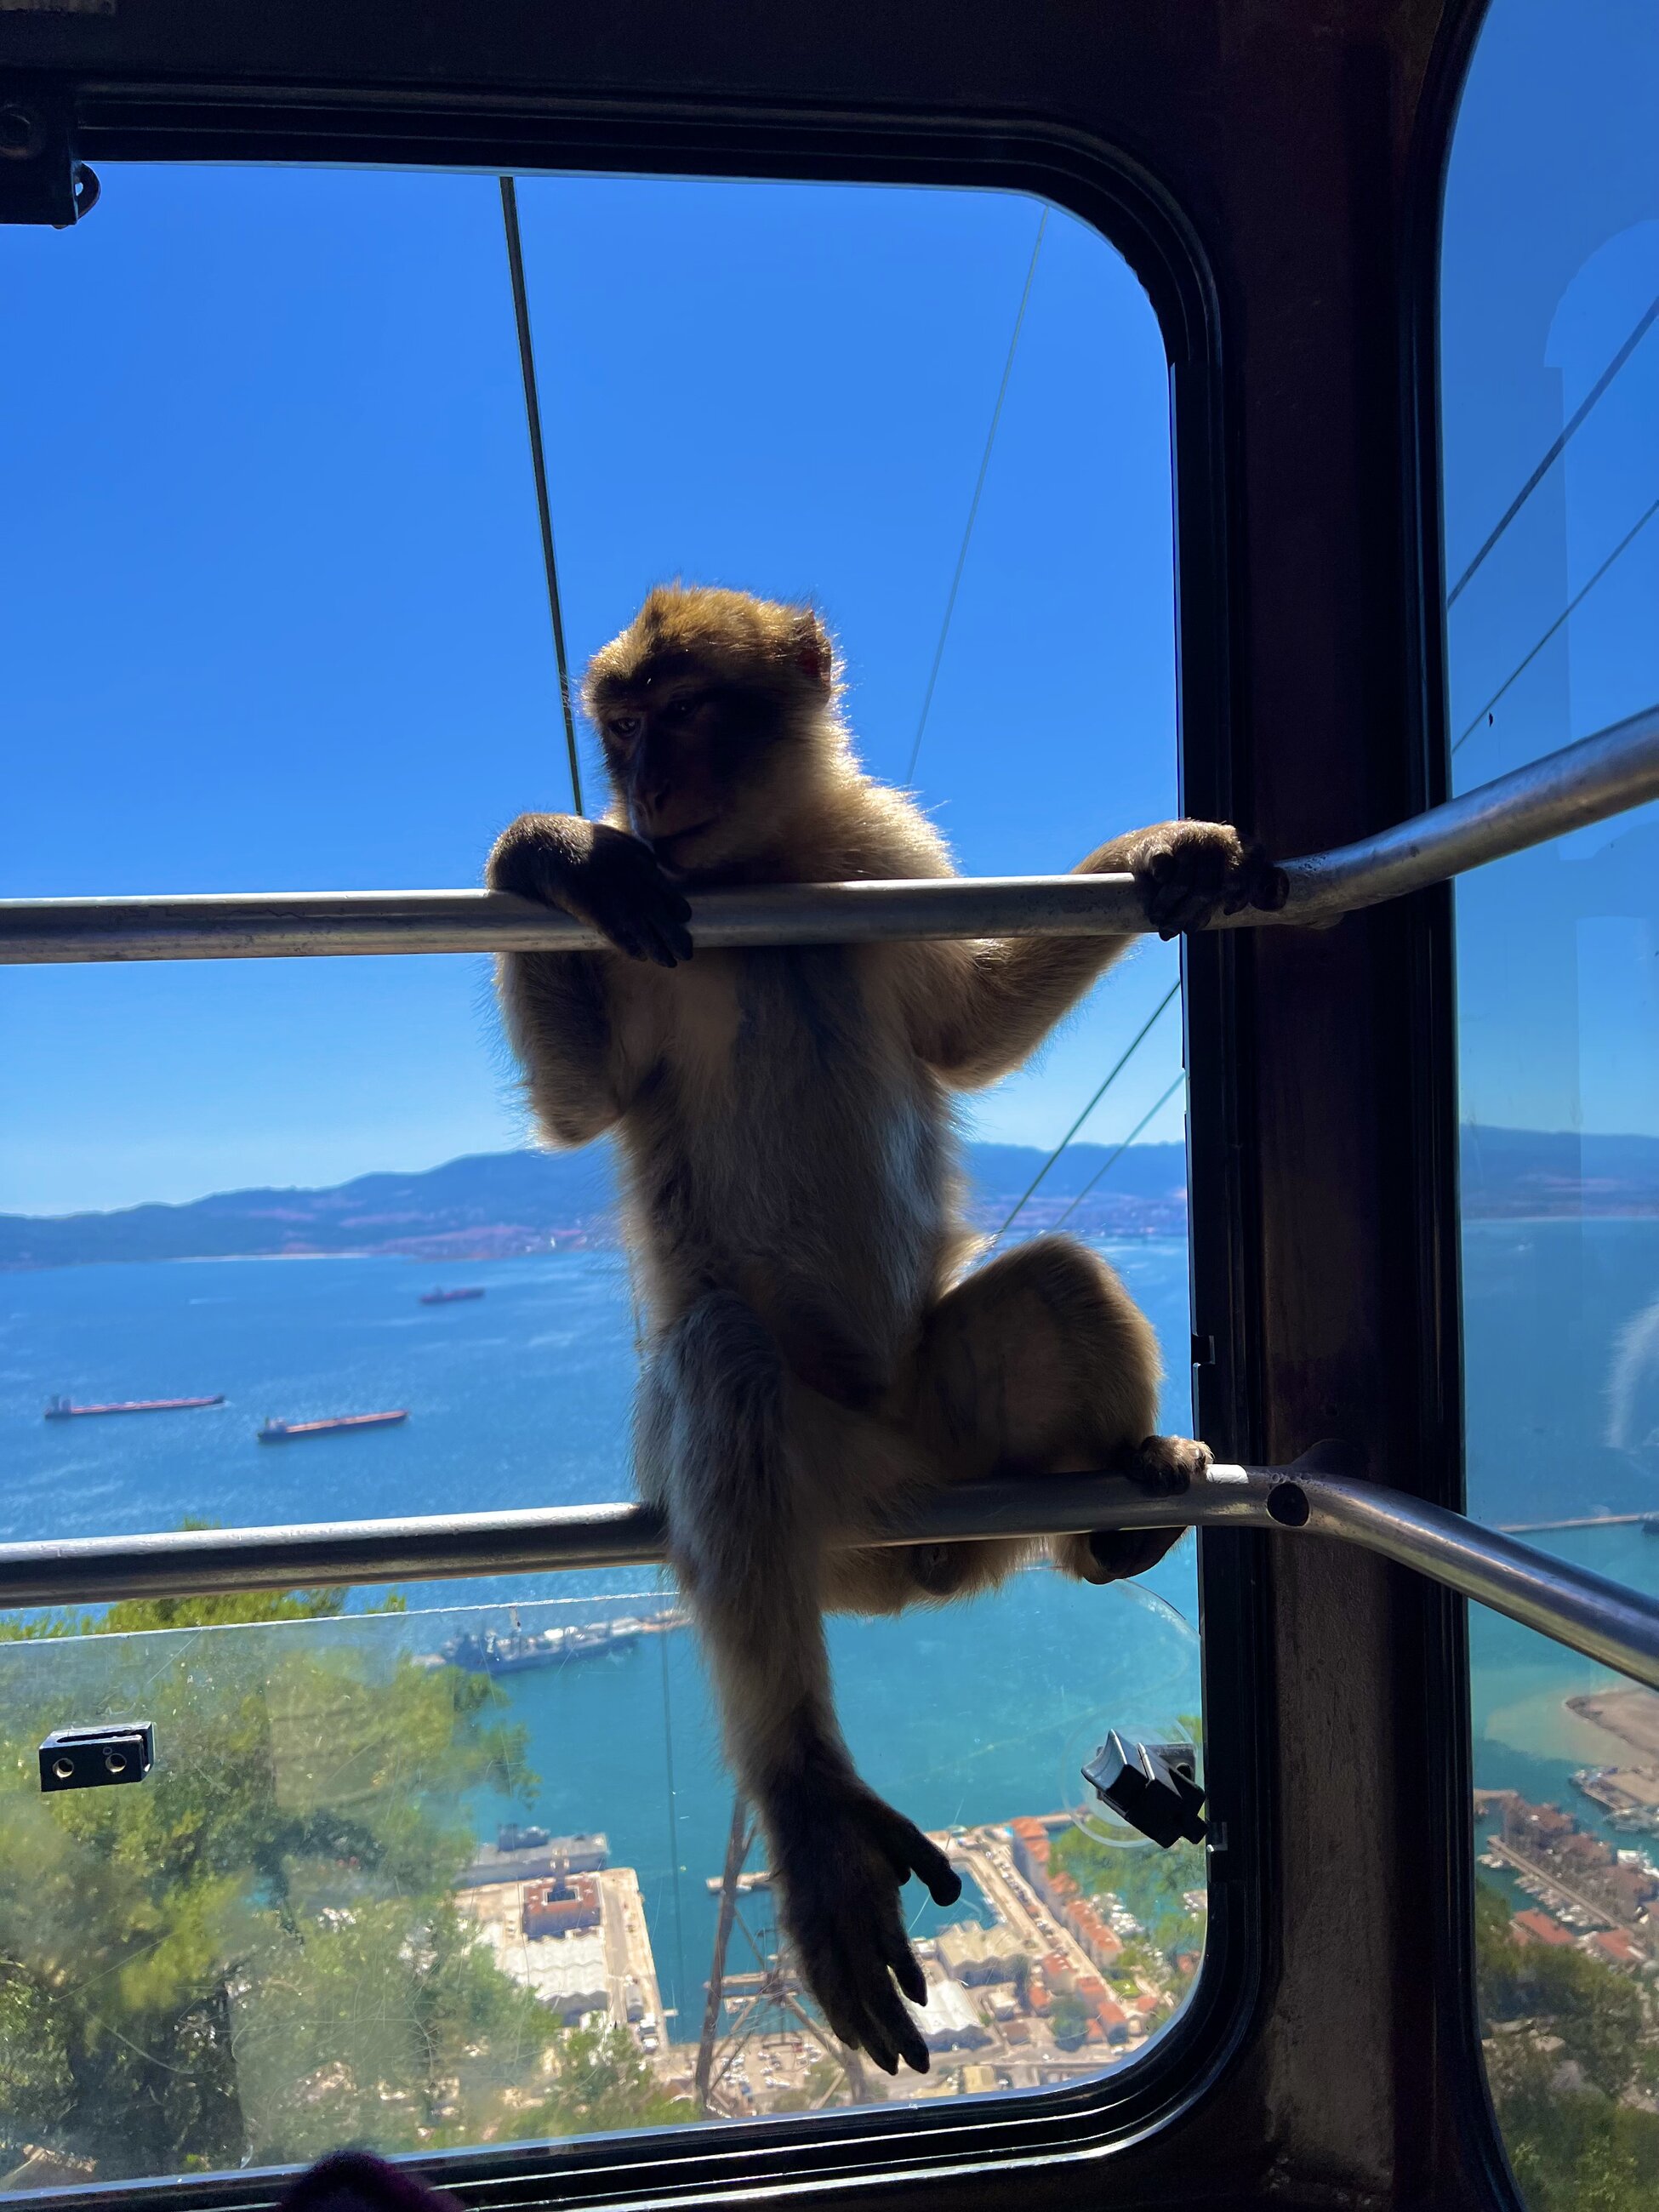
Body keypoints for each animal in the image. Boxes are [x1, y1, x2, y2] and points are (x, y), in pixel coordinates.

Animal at [480, 584, 1283, 2070]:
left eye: (683, 713)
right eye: (620, 725)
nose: (642, 780)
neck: (762, 877)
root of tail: (924, 1556)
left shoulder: (882, 851)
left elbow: (966, 1033)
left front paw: (1160, 849)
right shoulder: (645, 931)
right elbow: (582, 1104)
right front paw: (547, 851)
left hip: (950, 1437)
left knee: (1057, 1284)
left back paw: (1118, 1502)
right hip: (836, 1506)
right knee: (723, 1369)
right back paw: (808, 1800)